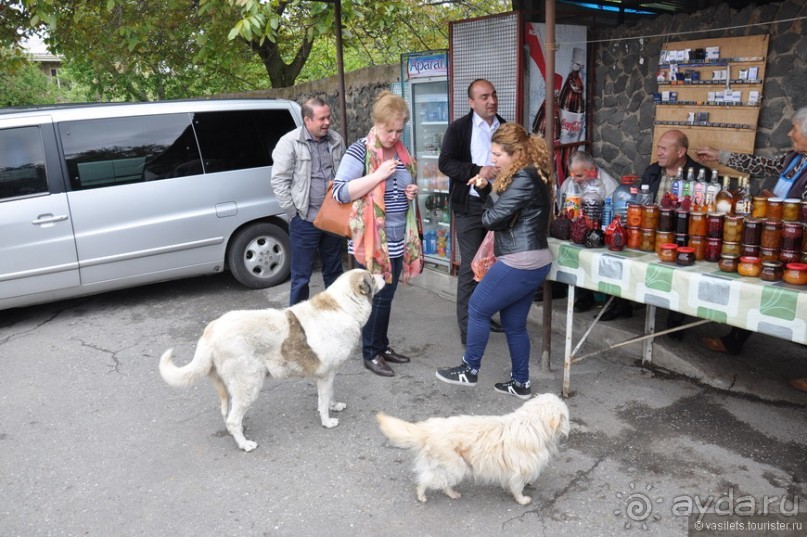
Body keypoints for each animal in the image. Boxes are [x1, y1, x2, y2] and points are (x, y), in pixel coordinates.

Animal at [161, 270, 386, 450]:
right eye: (372, 277)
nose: (384, 274)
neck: (343, 308)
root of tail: (210, 332)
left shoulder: (328, 376)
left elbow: (329, 395)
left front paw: (334, 406)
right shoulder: (326, 375)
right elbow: (322, 402)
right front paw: (327, 421)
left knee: (230, 414)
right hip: (249, 384)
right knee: (232, 420)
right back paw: (245, 444)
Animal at [378, 394, 568, 502]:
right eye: (565, 415)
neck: (532, 423)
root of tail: (429, 429)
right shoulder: (518, 470)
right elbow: (517, 488)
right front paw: (522, 499)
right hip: (454, 467)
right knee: (429, 481)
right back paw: (424, 495)